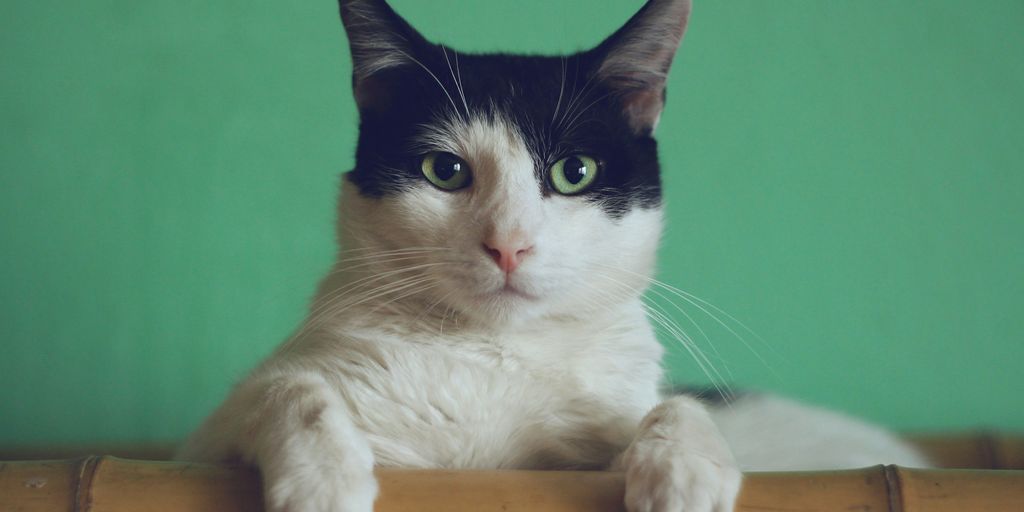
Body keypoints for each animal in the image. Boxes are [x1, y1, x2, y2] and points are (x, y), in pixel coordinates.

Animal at [176, 1, 929, 512]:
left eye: (574, 173)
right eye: (444, 170)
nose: (509, 243)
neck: (492, 358)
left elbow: (674, 408)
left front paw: (684, 471)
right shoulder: (202, 448)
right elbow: (290, 389)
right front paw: (325, 481)